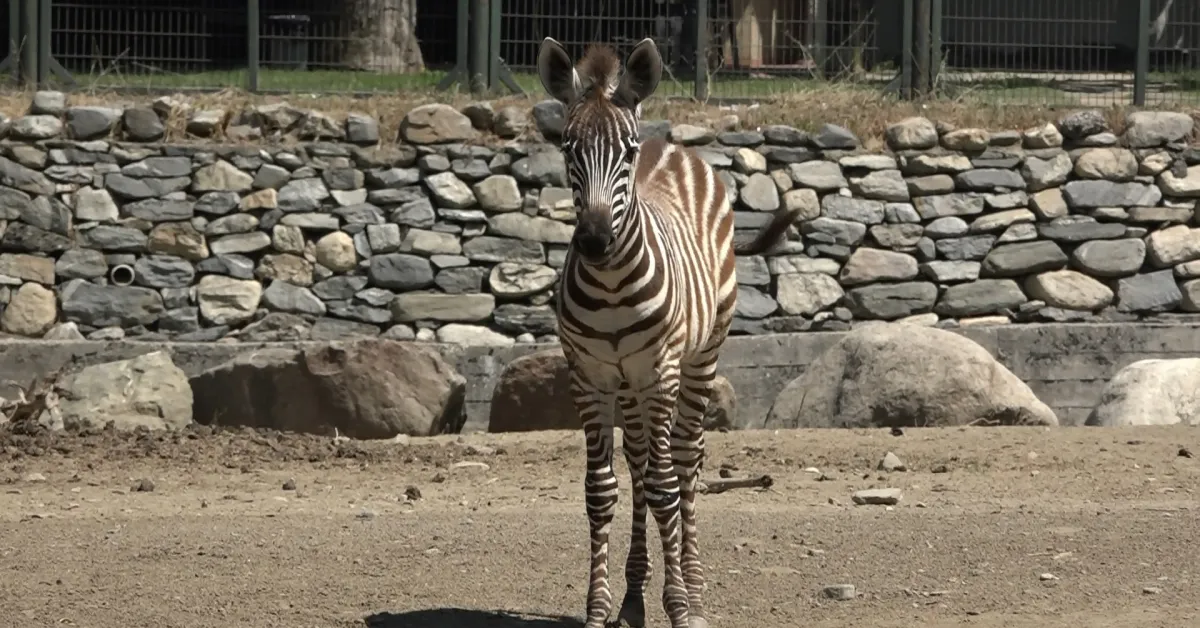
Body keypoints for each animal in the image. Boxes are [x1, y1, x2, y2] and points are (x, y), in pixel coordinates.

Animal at [536, 37, 802, 628]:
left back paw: (694, 592)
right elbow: (602, 491)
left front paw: (680, 605)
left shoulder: (660, 372)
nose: (593, 241)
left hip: (699, 357)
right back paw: (634, 598)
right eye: (567, 148)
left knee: (684, 461)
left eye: (627, 152)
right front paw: (599, 610)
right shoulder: (588, 375)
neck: (612, 285)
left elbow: (664, 487)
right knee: (639, 462)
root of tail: (674, 146)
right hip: (629, 380)